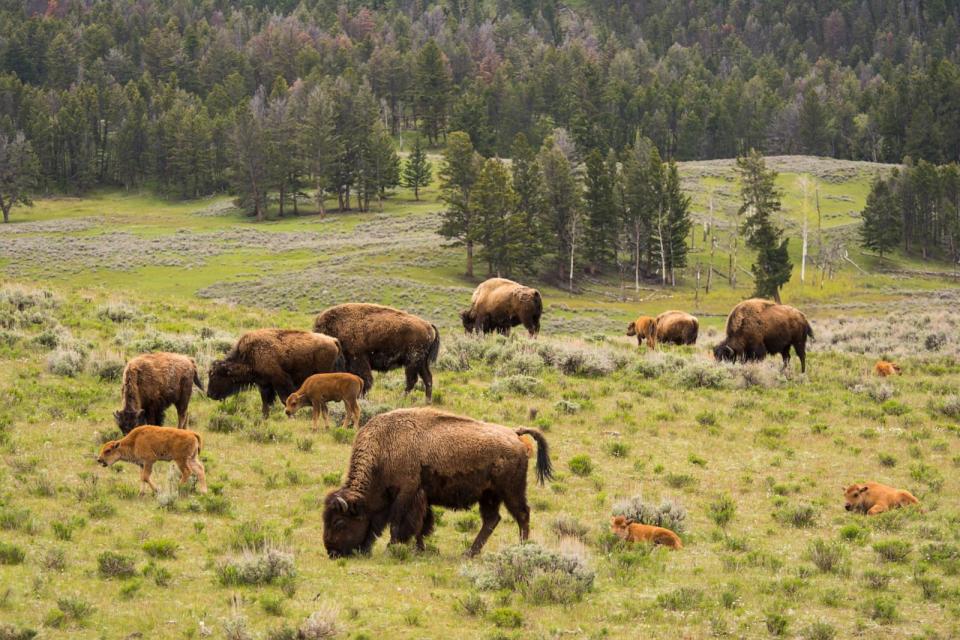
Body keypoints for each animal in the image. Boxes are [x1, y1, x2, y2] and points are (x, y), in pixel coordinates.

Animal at [208, 330, 344, 420]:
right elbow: (266, 403)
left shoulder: (280, 380)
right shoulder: (264, 384)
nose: (209, 394)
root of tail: (333, 340)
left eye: (215, 376)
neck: (250, 354)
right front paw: (264, 418)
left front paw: (291, 417)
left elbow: (285, 399)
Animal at [322, 408, 552, 556]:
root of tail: (514, 433)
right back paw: (469, 552)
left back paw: (522, 549)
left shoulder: (405, 494)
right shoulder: (421, 499)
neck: (382, 450)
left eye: (339, 522)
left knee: (522, 514)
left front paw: (392, 548)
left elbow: (398, 523)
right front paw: (419, 549)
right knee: (492, 520)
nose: (332, 551)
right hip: (489, 495)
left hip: (511, 491)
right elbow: (421, 525)